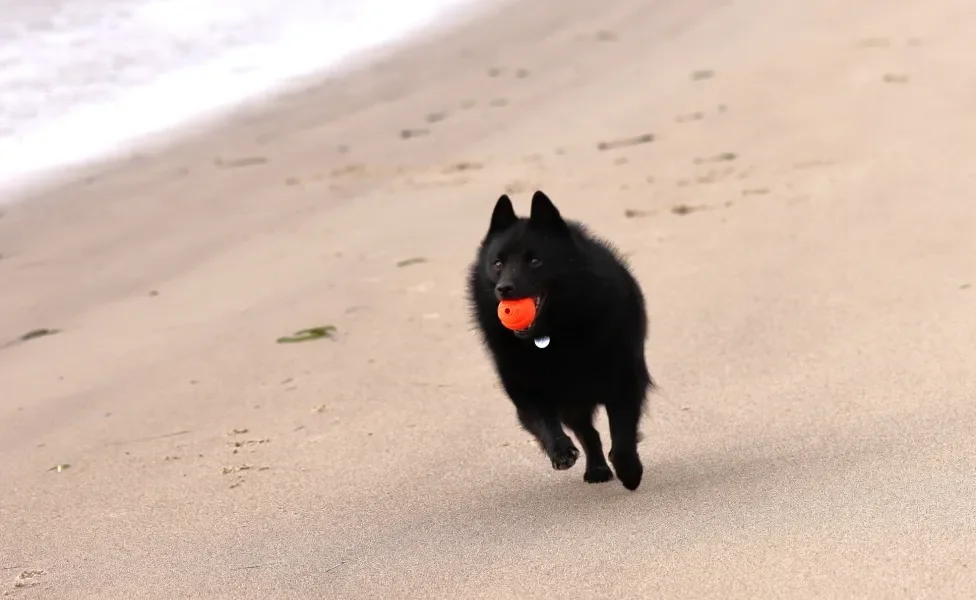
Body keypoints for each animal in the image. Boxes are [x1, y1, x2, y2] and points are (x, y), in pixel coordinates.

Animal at [468, 190, 652, 490]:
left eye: (534, 261)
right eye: (498, 264)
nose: (504, 289)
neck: (553, 336)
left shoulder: (623, 381)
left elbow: (623, 431)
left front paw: (629, 469)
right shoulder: (528, 390)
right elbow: (544, 421)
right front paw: (561, 450)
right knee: (588, 433)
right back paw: (596, 468)